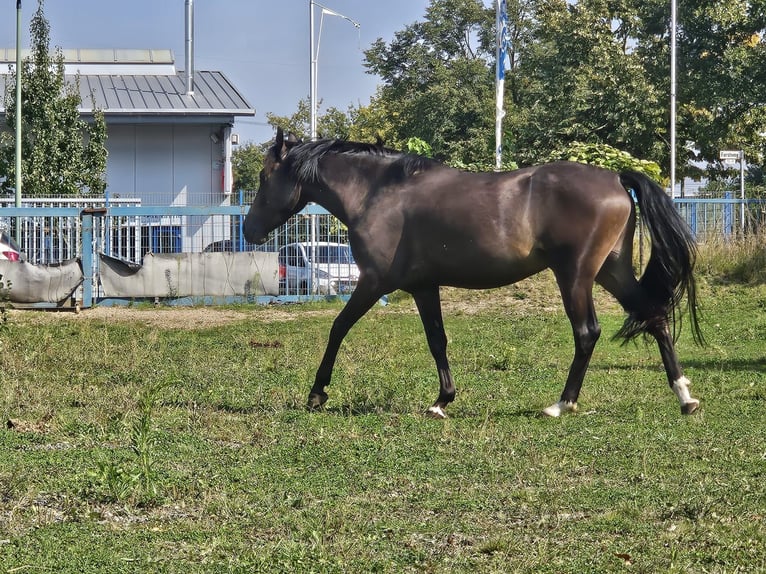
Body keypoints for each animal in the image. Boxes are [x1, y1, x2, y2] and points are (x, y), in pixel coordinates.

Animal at [244, 129, 704, 418]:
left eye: (265, 176)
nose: (248, 230)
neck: (380, 193)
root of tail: (615, 178)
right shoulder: (423, 286)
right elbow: (437, 340)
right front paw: (441, 401)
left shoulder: (374, 282)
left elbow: (338, 327)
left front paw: (317, 392)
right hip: (612, 270)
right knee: (655, 315)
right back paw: (685, 396)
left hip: (575, 275)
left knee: (587, 332)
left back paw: (561, 404)